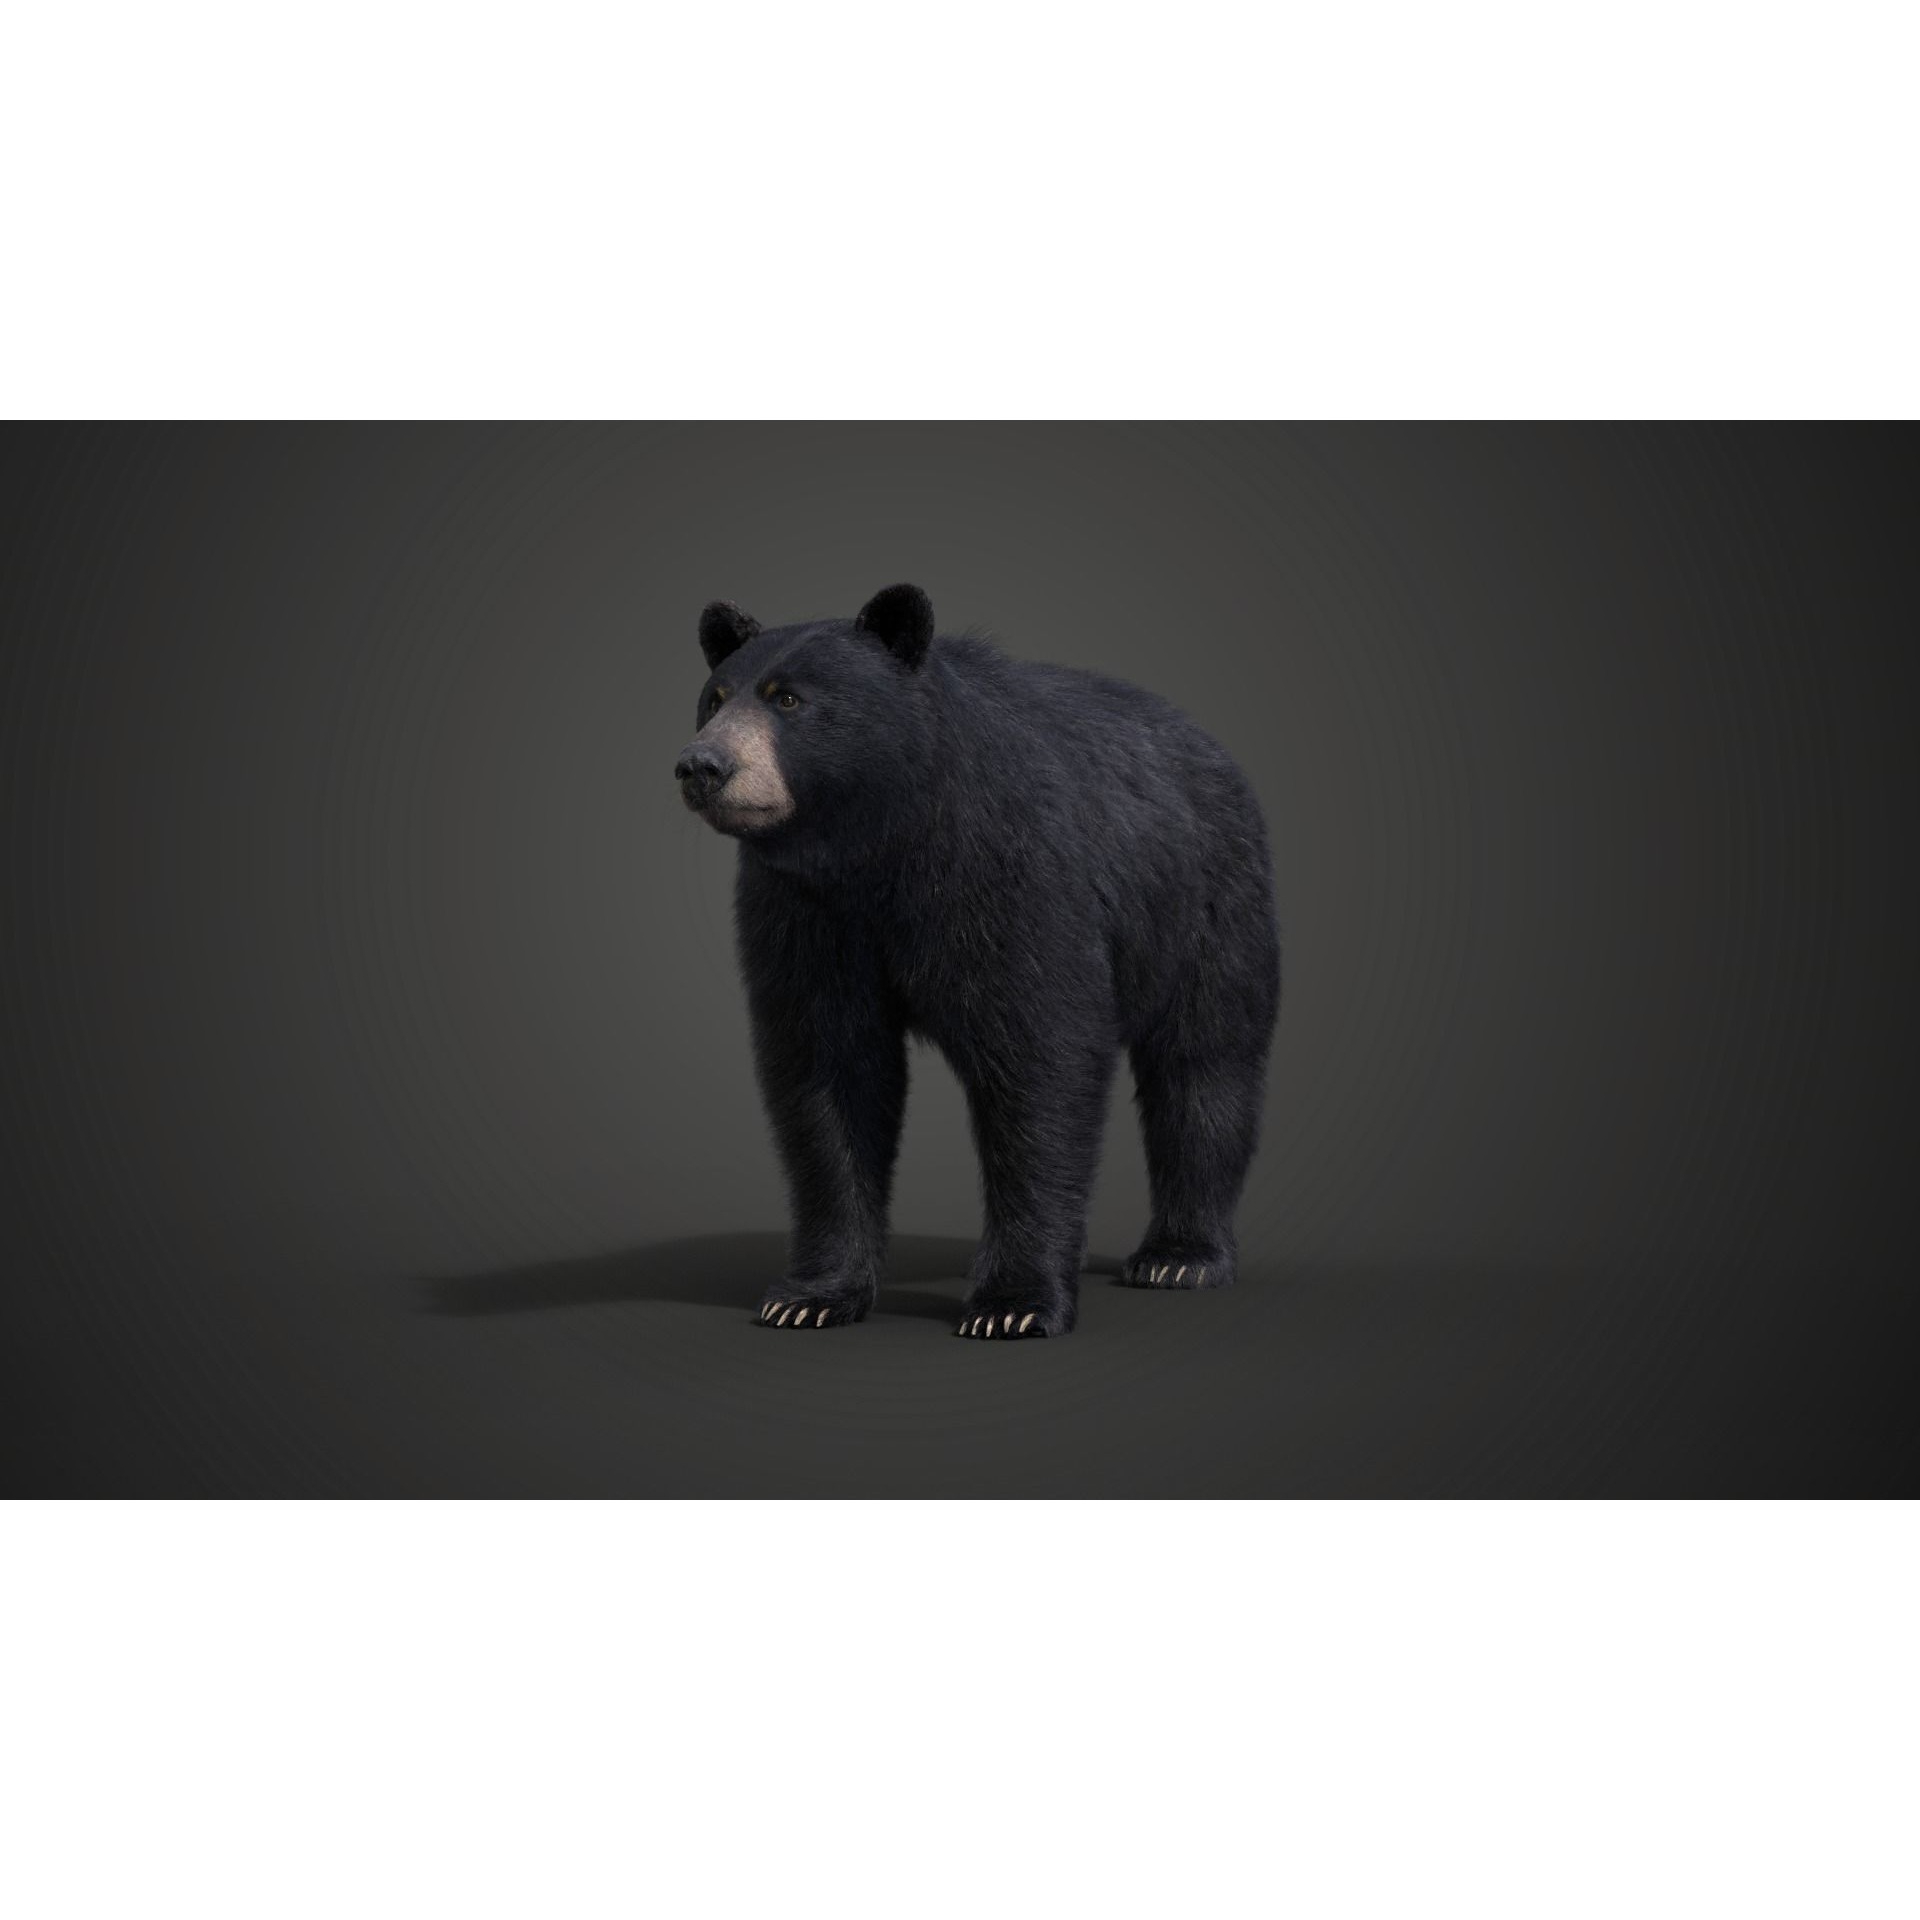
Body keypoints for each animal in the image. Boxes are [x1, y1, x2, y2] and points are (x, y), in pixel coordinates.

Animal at [674, 584, 1281, 1339]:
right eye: (714, 698)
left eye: (788, 698)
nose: (701, 766)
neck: (876, 843)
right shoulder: (806, 914)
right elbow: (827, 1071)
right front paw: (810, 1295)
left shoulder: (1007, 873)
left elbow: (1039, 1056)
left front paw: (1014, 1304)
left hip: (1204, 903)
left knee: (1203, 1066)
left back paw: (1180, 1256)